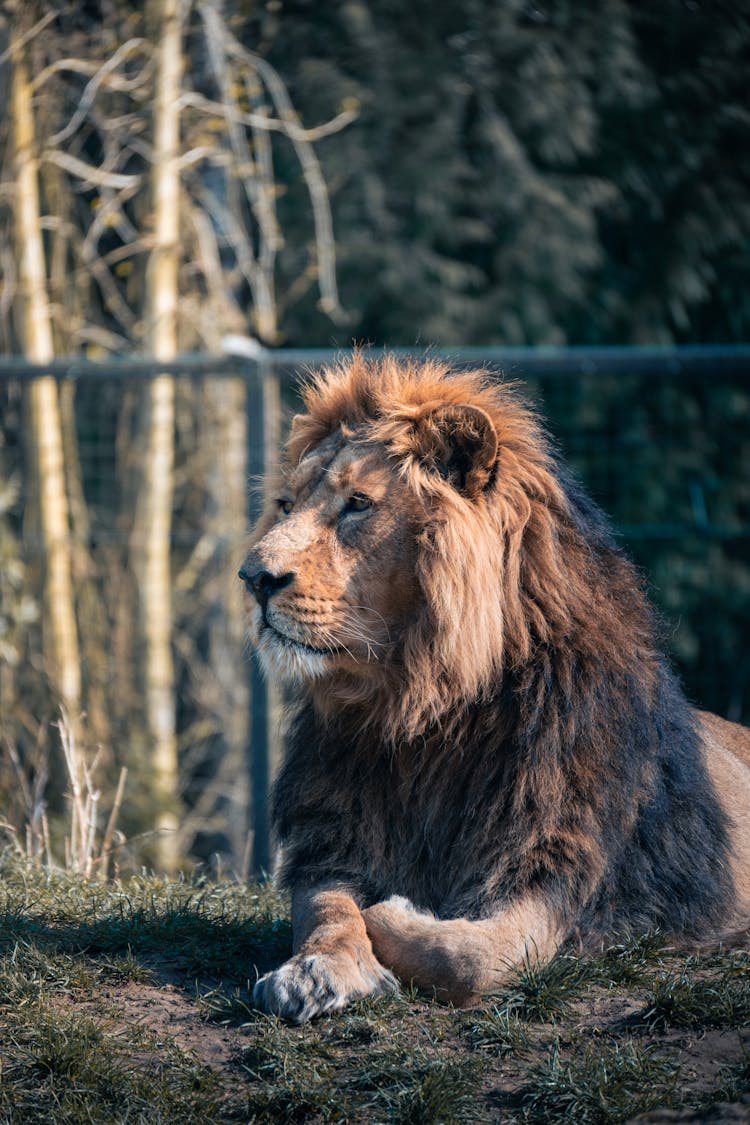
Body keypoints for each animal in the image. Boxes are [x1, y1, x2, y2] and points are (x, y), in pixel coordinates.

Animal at [239, 355, 750, 1026]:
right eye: (284, 504)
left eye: (357, 504)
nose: (253, 578)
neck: (425, 711)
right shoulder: (334, 835)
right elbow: (327, 910)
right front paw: (317, 970)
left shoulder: (555, 858)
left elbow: (473, 958)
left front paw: (393, 914)